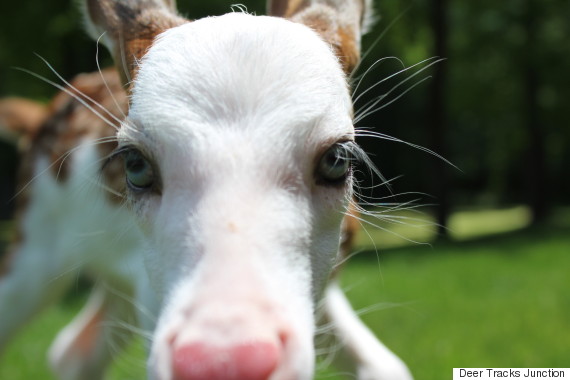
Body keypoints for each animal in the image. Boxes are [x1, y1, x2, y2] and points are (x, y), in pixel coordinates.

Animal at [0, 0, 412, 380]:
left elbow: (389, 367)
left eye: (337, 159)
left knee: (74, 350)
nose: (225, 362)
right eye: (135, 165)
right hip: (35, 243)